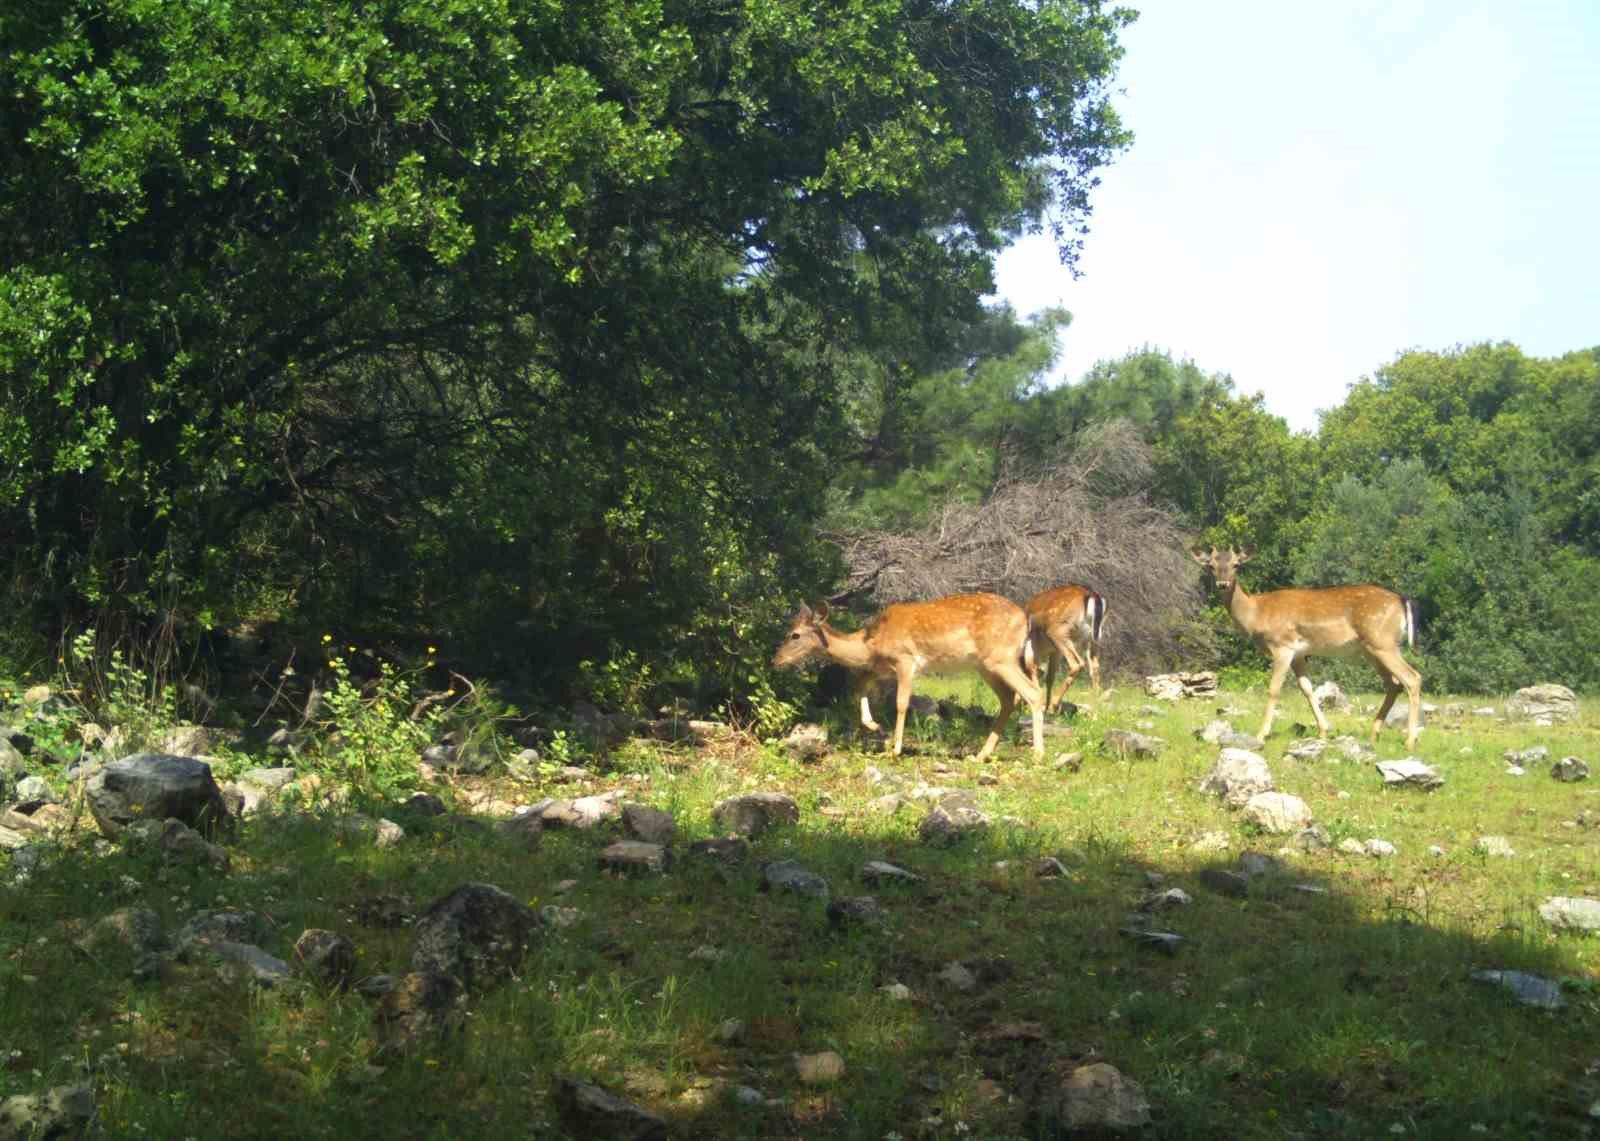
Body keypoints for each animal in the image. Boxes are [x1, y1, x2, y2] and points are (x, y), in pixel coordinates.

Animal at [1190, 547, 1427, 752]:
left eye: (1236, 564)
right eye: (1210, 565)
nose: (1222, 584)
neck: (1256, 614)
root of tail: (1402, 601)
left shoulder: (1282, 645)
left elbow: (1274, 689)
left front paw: (1261, 734)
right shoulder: (1300, 654)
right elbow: (1307, 688)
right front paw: (1323, 731)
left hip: (1383, 642)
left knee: (1412, 677)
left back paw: (1410, 741)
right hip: (1372, 650)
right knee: (1394, 684)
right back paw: (1374, 734)